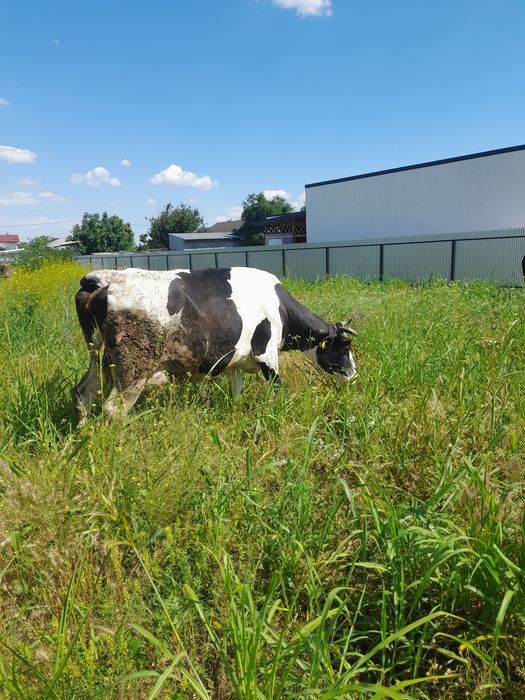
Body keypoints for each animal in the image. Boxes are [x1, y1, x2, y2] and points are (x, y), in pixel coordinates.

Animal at [73, 267, 357, 424]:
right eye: (345, 349)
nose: (353, 377)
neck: (281, 307)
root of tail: (100, 279)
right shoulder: (267, 355)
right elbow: (278, 389)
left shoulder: (235, 363)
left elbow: (237, 391)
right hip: (132, 369)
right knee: (113, 409)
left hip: (98, 357)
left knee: (82, 392)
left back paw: (83, 435)